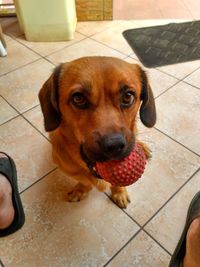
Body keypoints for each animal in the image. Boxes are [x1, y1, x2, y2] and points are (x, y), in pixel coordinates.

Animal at [38, 57, 155, 209]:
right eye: (78, 98)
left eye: (128, 96)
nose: (114, 146)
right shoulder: (71, 170)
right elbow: (85, 181)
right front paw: (81, 190)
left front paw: (119, 192)